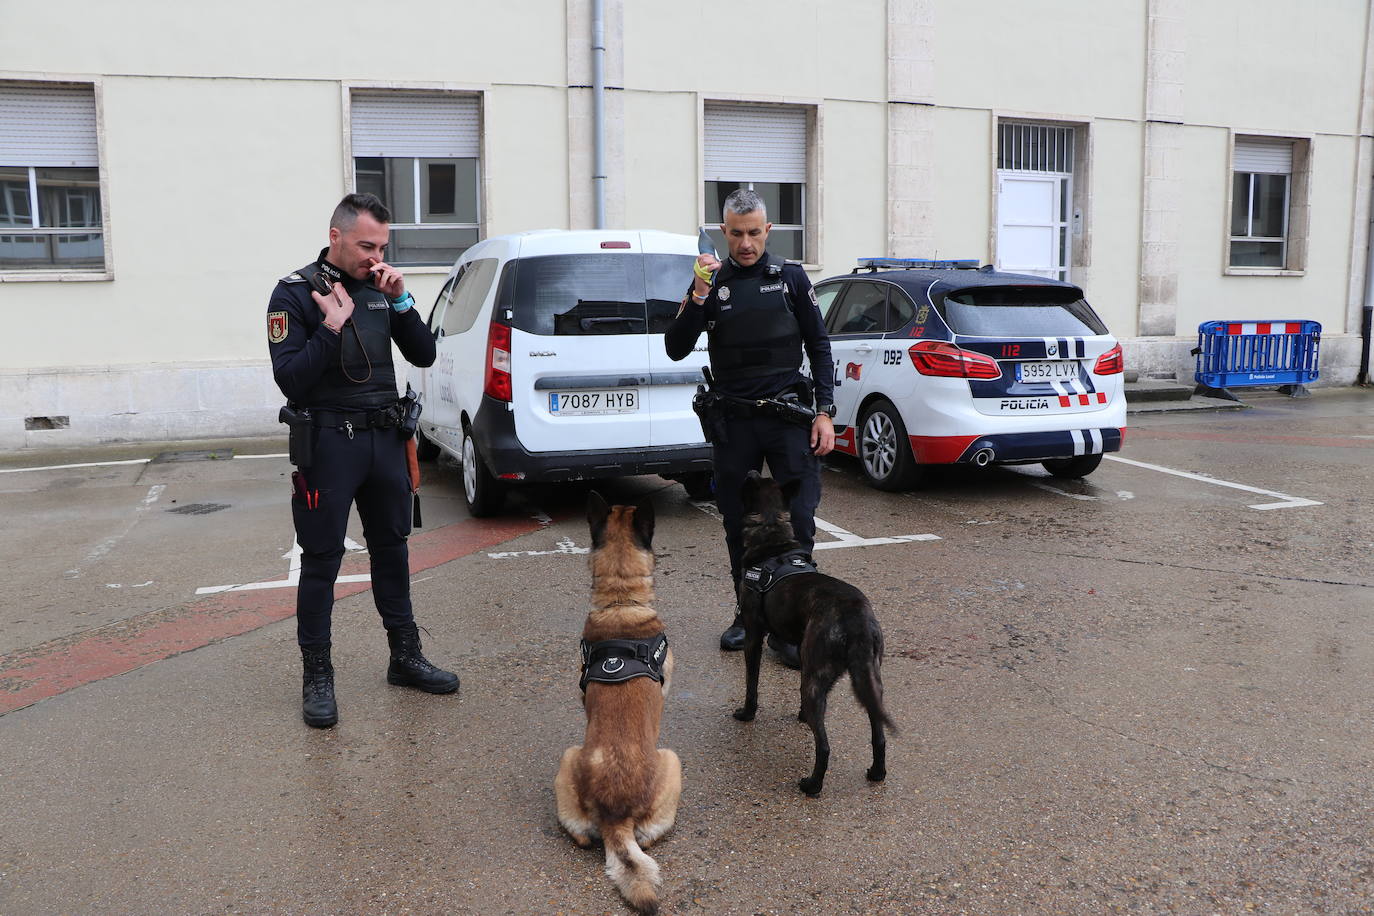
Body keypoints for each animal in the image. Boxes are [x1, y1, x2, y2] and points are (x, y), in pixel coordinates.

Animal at [557, 494, 681, 916]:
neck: (620, 601)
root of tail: (615, 818)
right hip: (672, 760)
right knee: (647, 840)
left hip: (568, 756)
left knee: (580, 835)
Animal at [730, 472, 890, 796]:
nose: (750, 472)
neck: (772, 533)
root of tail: (856, 617)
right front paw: (803, 715)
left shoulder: (753, 636)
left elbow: (752, 684)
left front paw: (747, 713)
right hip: (870, 680)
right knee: (878, 734)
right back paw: (876, 772)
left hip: (815, 681)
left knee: (824, 746)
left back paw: (812, 784)